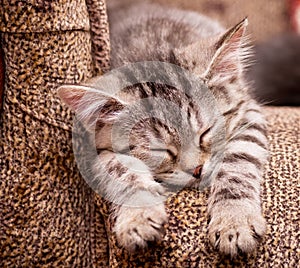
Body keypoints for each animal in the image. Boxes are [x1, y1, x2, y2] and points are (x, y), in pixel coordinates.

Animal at [57, 2, 268, 258]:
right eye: (160, 150)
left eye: (205, 132)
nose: (197, 170)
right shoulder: (96, 152)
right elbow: (123, 172)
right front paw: (139, 216)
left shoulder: (248, 114)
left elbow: (237, 163)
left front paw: (234, 219)